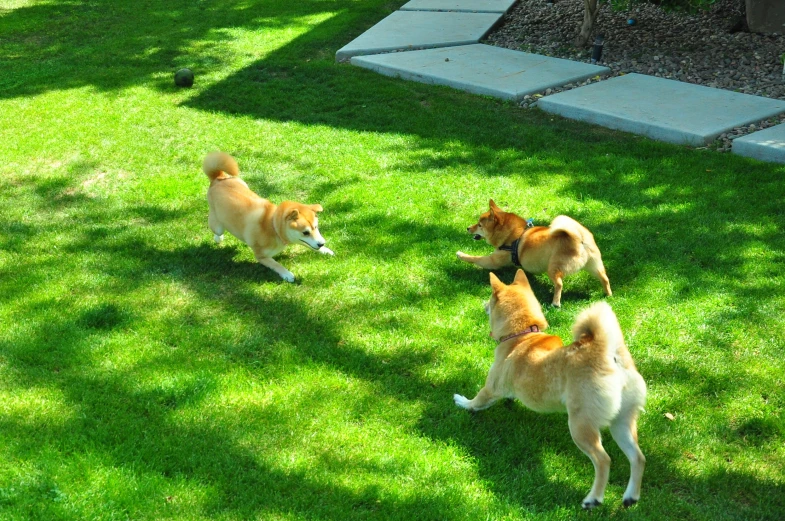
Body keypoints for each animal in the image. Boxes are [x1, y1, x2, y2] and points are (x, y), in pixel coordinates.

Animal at [201, 150, 332, 280]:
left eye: (316, 227)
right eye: (305, 232)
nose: (322, 243)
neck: (273, 227)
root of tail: (219, 178)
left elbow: (309, 245)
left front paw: (325, 250)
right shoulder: (261, 256)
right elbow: (276, 264)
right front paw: (287, 274)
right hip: (217, 224)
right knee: (218, 231)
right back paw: (218, 238)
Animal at [450, 270, 648, 510]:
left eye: (490, 298)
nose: (484, 305)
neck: (521, 334)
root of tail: (607, 355)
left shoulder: (491, 388)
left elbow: (476, 401)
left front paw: (462, 402)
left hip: (581, 426)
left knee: (603, 460)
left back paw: (593, 499)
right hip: (622, 423)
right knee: (637, 458)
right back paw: (630, 496)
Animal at [454, 198, 612, 304]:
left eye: (479, 225)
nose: (468, 228)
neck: (513, 234)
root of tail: (579, 238)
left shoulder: (493, 261)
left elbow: (475, 258)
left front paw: (461, 255)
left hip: (553, 268)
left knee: (559, 284)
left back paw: (555, 303)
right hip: (594, 266)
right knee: (605, 278)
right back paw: (608, 294)